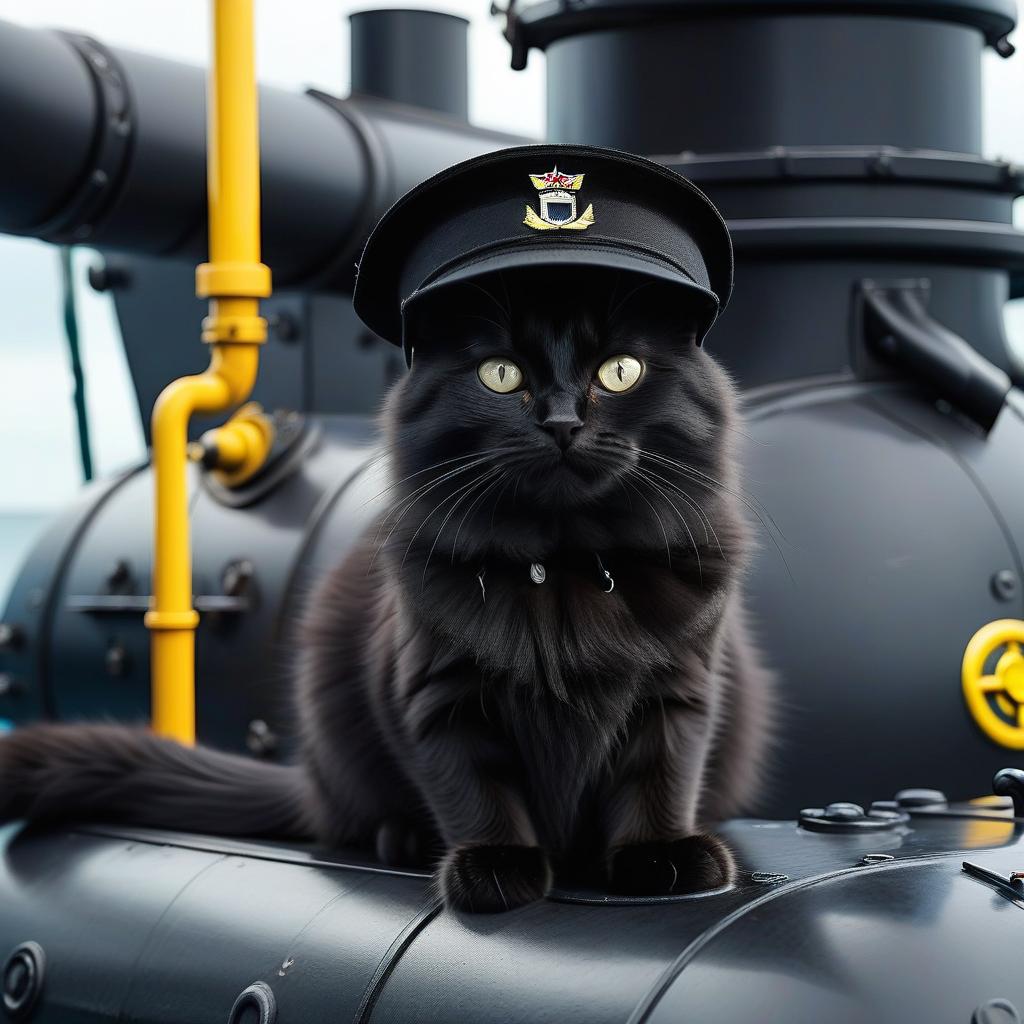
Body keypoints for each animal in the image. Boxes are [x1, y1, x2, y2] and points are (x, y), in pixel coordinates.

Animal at [0, 270, 770, 913]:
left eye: (620, 372)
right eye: (501, 375)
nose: (562, 423)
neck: (564, 571)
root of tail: (310, 782)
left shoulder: (681, 686)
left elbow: (660, 773)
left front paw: (663, 856)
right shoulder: (435, 692)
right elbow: (471, 783)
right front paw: (496, 867)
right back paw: (402, 837)